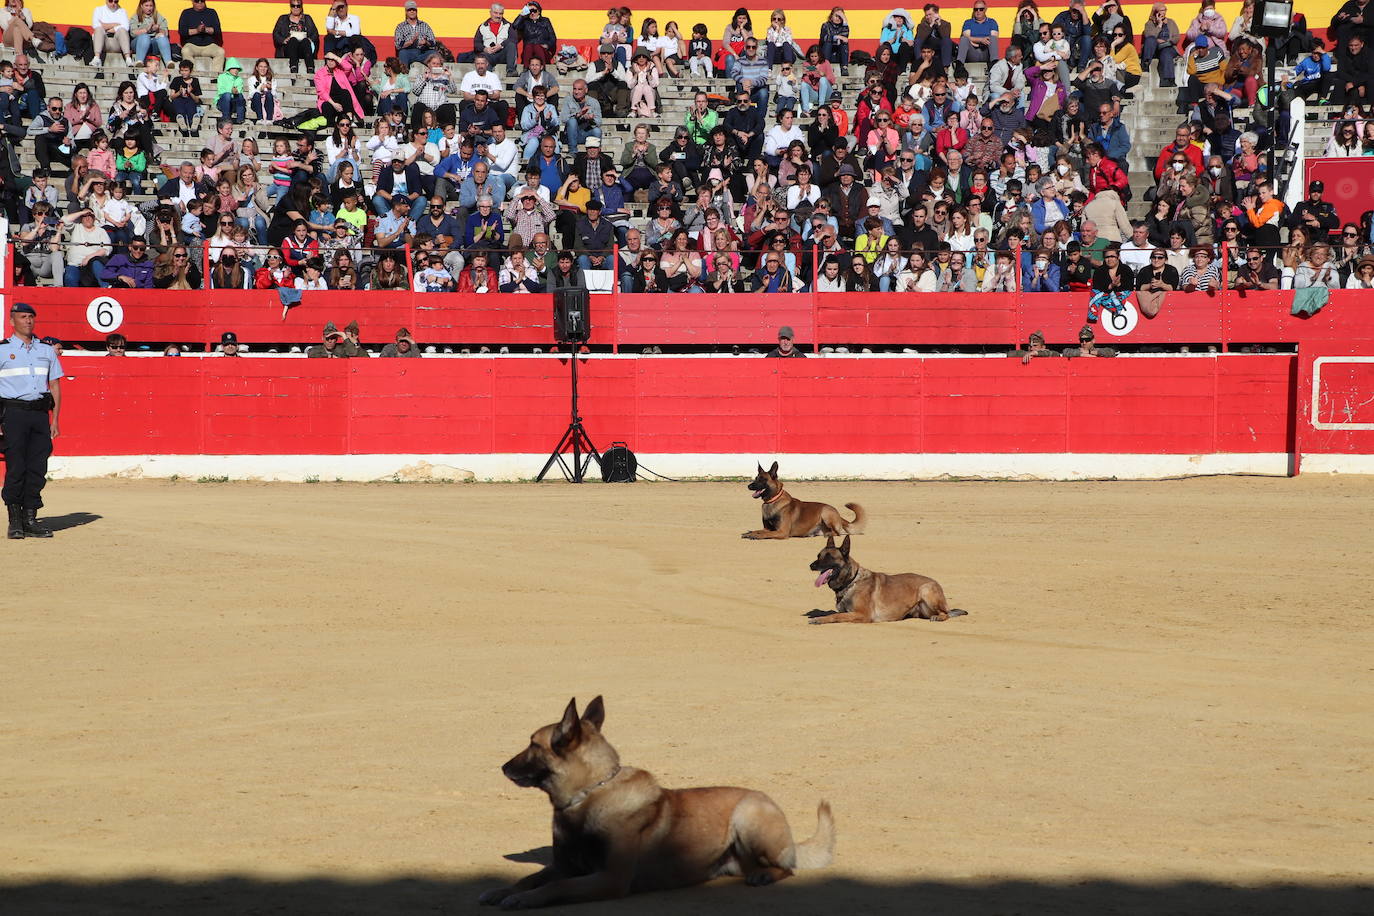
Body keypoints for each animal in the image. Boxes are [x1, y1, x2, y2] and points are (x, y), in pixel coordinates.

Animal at [478, 697, 829, 906]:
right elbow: (528, 879)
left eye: (533, 745)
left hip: (747, 815)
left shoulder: (609, 878)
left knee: (787, 867)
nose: (503, 767)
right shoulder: (563, 867)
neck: (590, 794)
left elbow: (556, 888)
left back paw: (766, 875)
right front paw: (502, 890)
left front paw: (522, 899)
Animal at [802, 532, 967, 626]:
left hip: (926, 590)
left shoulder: (862, 614)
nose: (811, 565)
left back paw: (939, 617)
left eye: (829, 557)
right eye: (818, 555)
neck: (851, 581)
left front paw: (818, 619)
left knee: (946, 614)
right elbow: (834, 613)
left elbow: (835, 615)